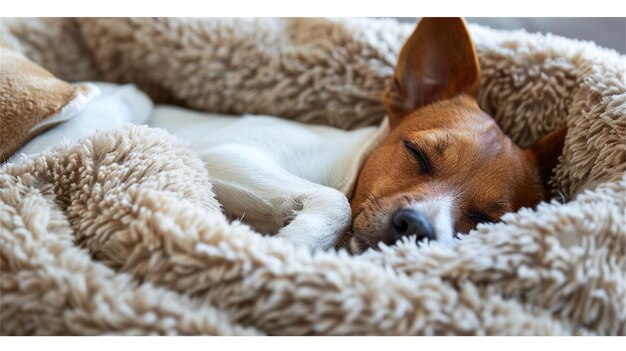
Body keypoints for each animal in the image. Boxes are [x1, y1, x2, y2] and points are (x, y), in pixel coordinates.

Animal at [152, 17, 564, 253]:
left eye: (485, 220)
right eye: (417, 153)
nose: (417, 226)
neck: (347, 167)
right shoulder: (227, 154)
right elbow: (338, 203)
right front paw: (290, 247)